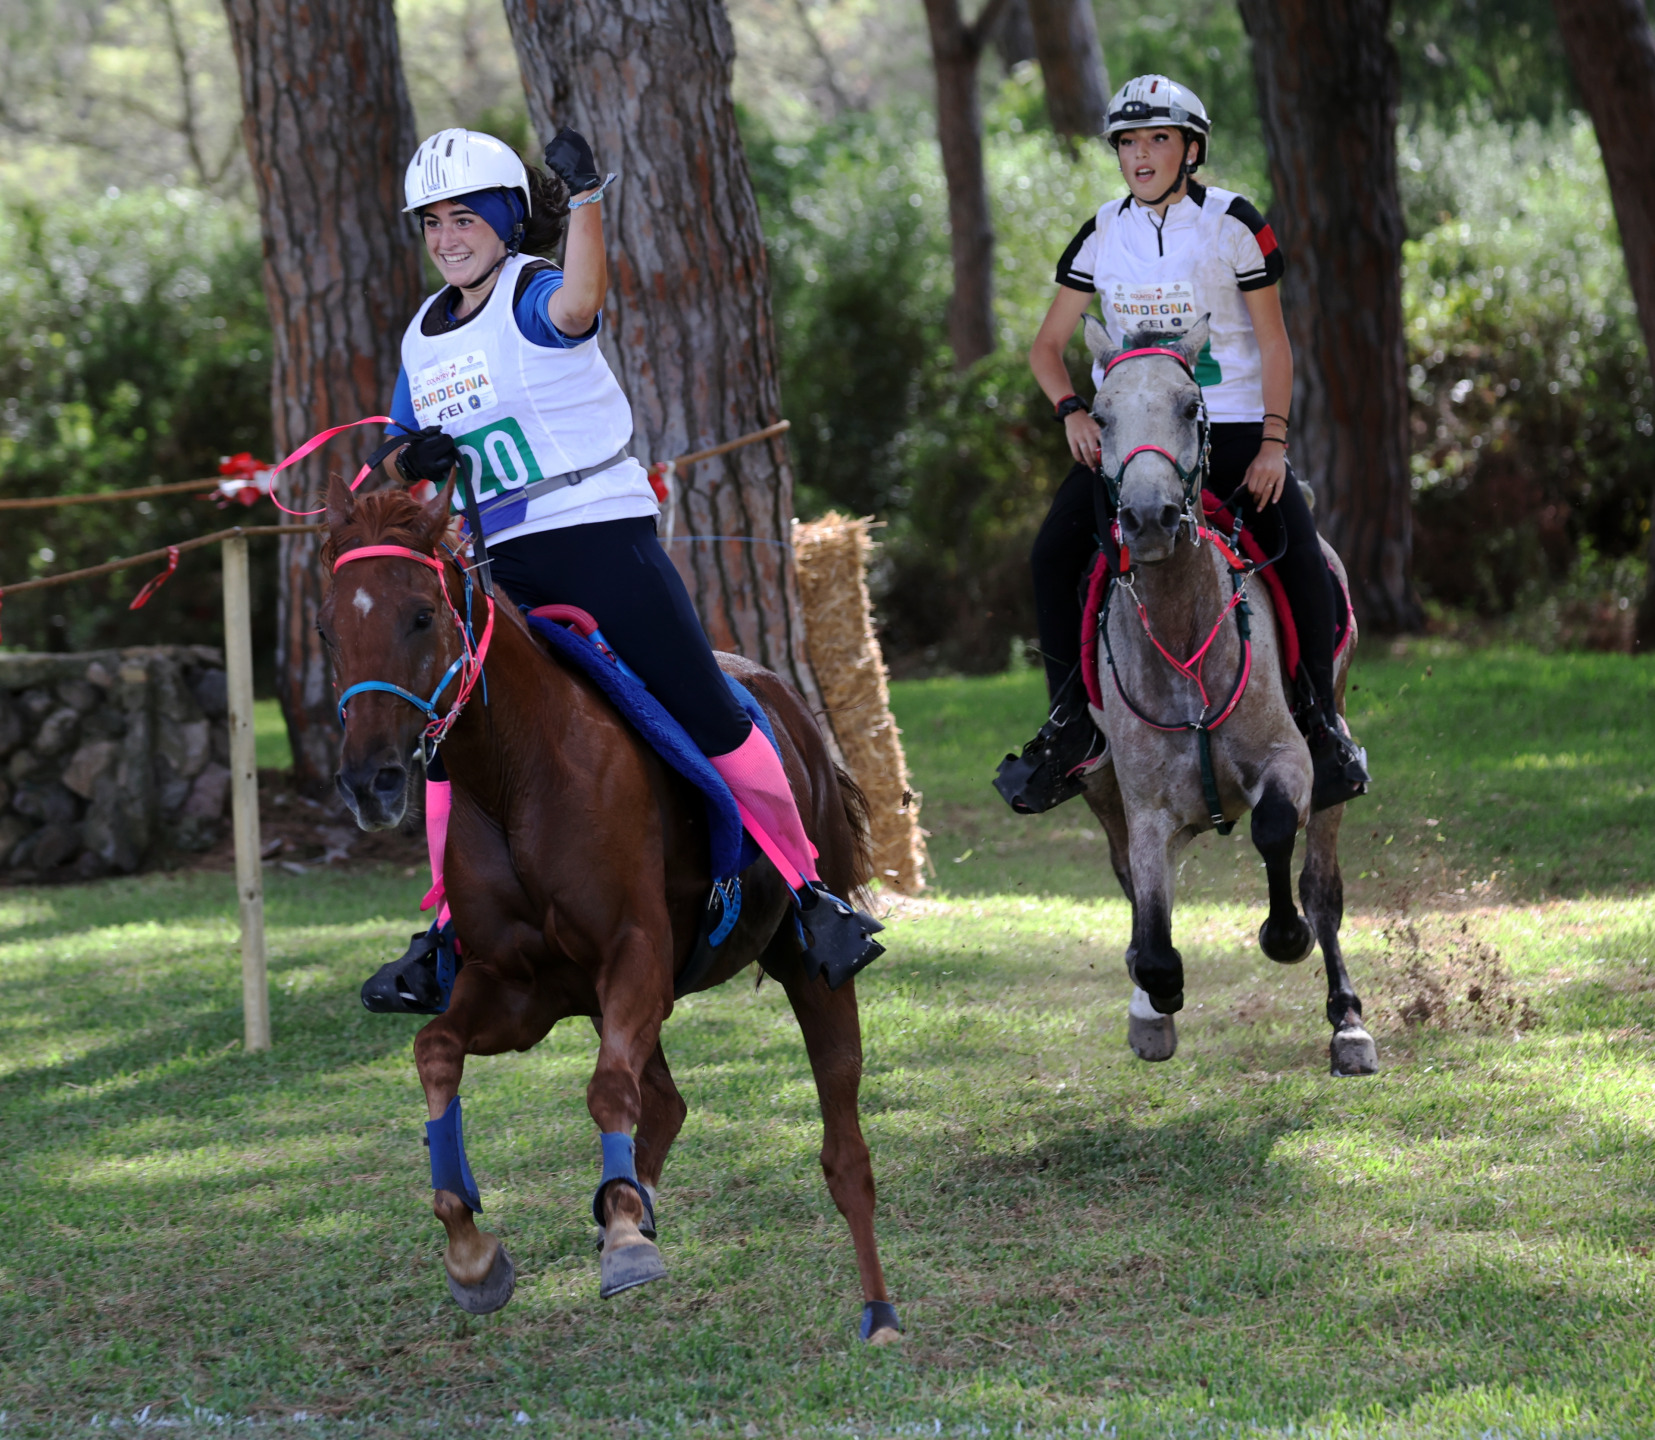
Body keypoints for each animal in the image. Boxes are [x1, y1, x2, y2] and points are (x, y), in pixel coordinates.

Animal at [316, 473, 900, 1344]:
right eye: (327, 628)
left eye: (420, 615)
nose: (370, 782)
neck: (514, 775)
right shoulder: (520, 988)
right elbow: (436, 1051)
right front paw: (473, 1253)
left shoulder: (635, 955)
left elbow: (604, 1091)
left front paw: (624, 1239)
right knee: (665, 1099)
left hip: (805, 970)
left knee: (843, 1150)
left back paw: (877, 1311)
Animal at [1079, 316, 1376, 1085]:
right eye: (1099, 415)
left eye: (1190, 406)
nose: (1148, 517)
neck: (1182, 637)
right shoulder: (1146, 808)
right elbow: (1152, 932)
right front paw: (1156, 998)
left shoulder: (1290, 763)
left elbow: (1273, 831)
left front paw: (1283, 936)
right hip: (1099, 786)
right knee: (1130, 885)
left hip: (1331, 755)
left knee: (1322, 889)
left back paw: (1348, 1023)